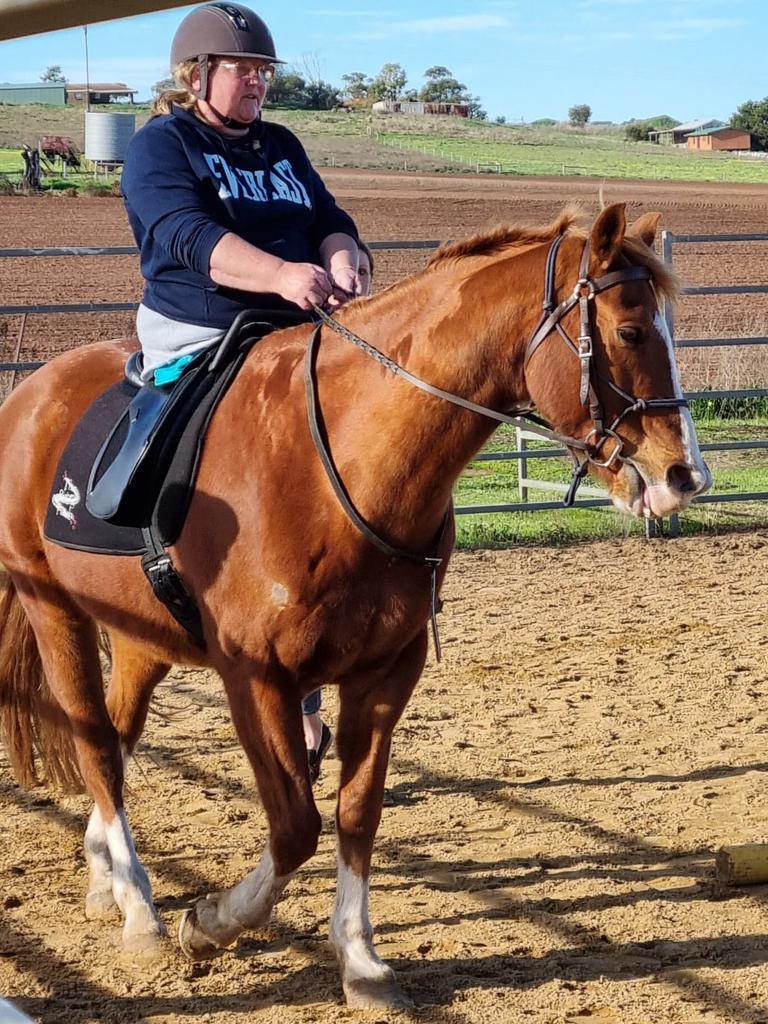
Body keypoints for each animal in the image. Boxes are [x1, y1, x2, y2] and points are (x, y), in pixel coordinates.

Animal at [0, 201, 708, 1007]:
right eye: (630, 331)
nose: (685, 476)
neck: (340, 459)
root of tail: (32, 393)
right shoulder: (257, 680)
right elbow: (294, 826)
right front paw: (210, 922)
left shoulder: (384, 674)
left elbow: (354, 813)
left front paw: (360, 957)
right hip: (55, 613)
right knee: (95, 746)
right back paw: (141, 914)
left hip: (141, 640)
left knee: (116, 741)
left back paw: (107, 879)